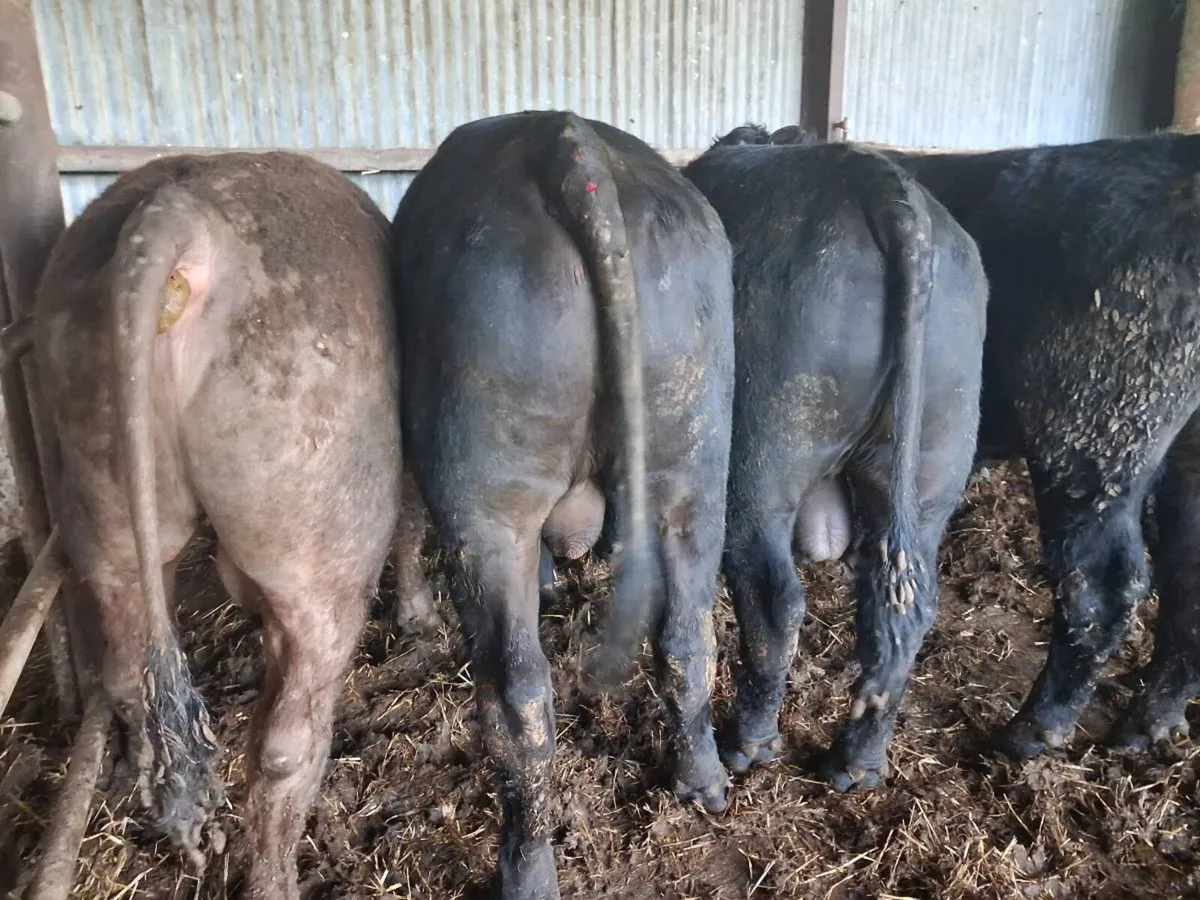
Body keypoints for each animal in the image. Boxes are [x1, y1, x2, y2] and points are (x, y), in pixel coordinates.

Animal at [33, 151, 400, 899]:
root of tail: (179, 219)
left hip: (95, 467)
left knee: (127, 668)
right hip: (320, 514)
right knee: (290, 738)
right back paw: (276, 880)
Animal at [389, 110, 734, 898]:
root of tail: (568, 145)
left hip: (487, 507)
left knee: (517, 694)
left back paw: (526, 870)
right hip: (693, 459)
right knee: (689, 635)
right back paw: (702, 780)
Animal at [682, 125, 989, 791]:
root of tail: (886, 188)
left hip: (759, 464)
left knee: (774, 601)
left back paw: (749, 743)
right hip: (929, 468)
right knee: (902, 606)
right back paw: (857, 761)